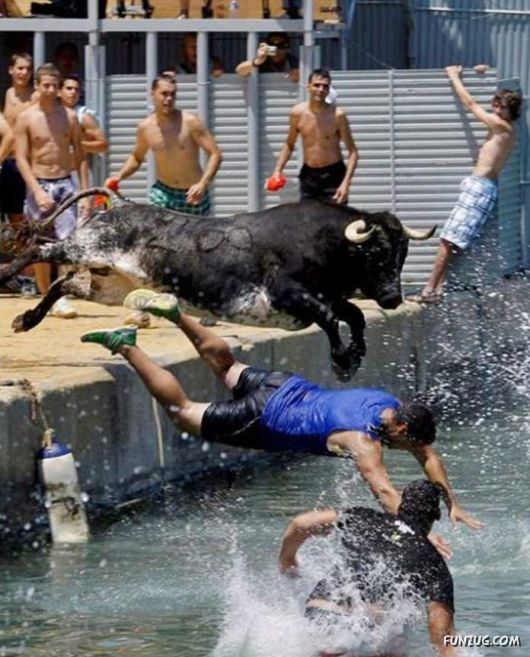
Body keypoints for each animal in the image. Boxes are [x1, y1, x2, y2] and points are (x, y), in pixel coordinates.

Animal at [0, 190, 435, 380]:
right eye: (375, 252)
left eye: (402, 254)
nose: (393, 298)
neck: (323, 241)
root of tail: (116, 206)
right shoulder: (289, 295)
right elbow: (332, 318)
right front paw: (342, 360)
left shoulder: (321, 298)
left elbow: (354, 315)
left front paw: (354, 356)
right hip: (85, 247)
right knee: (39, 249)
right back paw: (7, 276)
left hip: (109, 283)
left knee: (65, 283)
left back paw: (27, 319)